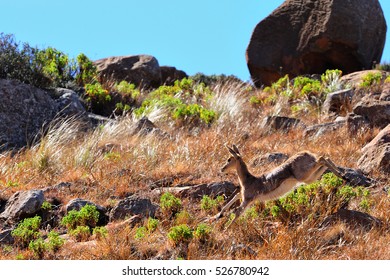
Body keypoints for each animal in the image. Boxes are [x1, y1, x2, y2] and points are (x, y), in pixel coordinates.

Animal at [212, 145, 346, 226]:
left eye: (229, 159)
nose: (222, 168)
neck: (248, 180)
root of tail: (306, 153)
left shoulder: (247, 200)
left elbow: (238, 212)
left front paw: (226, 228)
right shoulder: (246, 197)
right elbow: (235, 197)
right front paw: (219, 215)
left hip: (305, 176)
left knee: (322, 158)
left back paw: (343, 176)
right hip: (309, 178)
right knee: (325, 159)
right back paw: (343, 176)